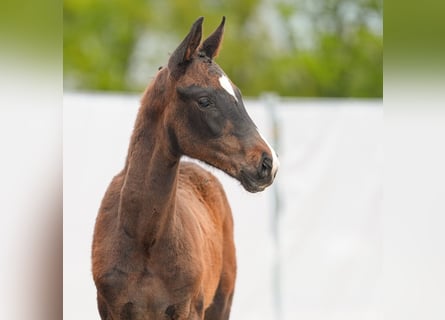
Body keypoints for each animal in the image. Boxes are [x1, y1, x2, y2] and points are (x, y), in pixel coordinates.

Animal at [91, 17, 278, 320]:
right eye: (204, 100)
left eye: (238, 95)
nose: (268, 162)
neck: (144, 236)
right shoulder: (112, 310)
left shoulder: (189, 310)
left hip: (221, 303)